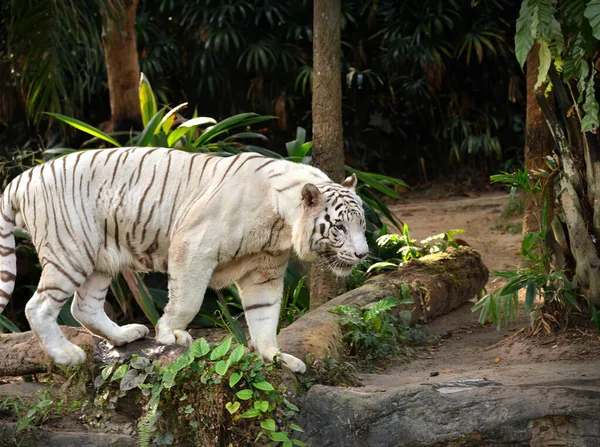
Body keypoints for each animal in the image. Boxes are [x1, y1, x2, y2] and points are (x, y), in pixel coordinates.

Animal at [0, 148, 370, 374]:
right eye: (339, 226)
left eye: (362, 225)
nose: (364, 254)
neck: (281, 226)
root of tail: (23, 177)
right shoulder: (194, 247)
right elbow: (187, 300)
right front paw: (170, 335)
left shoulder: (263, 272)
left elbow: (265, 316)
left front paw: (275, 357)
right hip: (71, 253)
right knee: (37, 306)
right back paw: (67, 354)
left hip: (102, 258)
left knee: (83, 307)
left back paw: (124, 335)